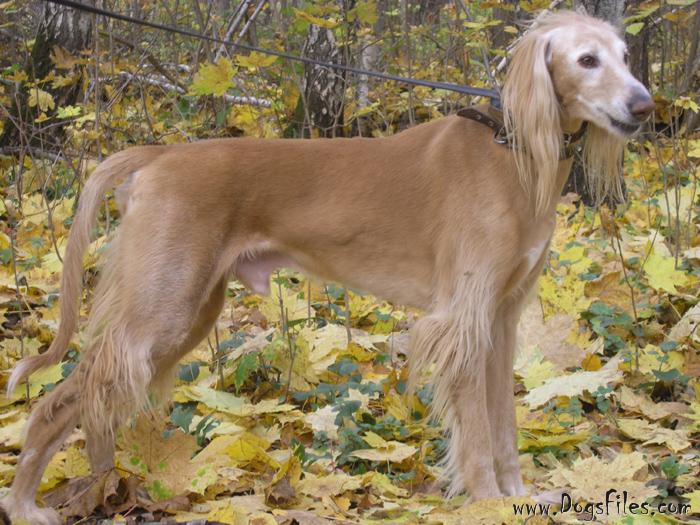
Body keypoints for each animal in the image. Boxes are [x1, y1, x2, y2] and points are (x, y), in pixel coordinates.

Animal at [2, 11, 653, 524]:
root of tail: (160, 156)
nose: (644, 106)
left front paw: (517, 497)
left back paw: (102, 485)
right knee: (57, 402)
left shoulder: (501, 318)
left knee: (94, 400)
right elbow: (475, 431)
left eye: (625, 57)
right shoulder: (462, 320)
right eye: (587, 59)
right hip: (162, 310)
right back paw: (27, 503)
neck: (512, 151)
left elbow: (504, 423)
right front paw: (489, 503)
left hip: (187, 313)